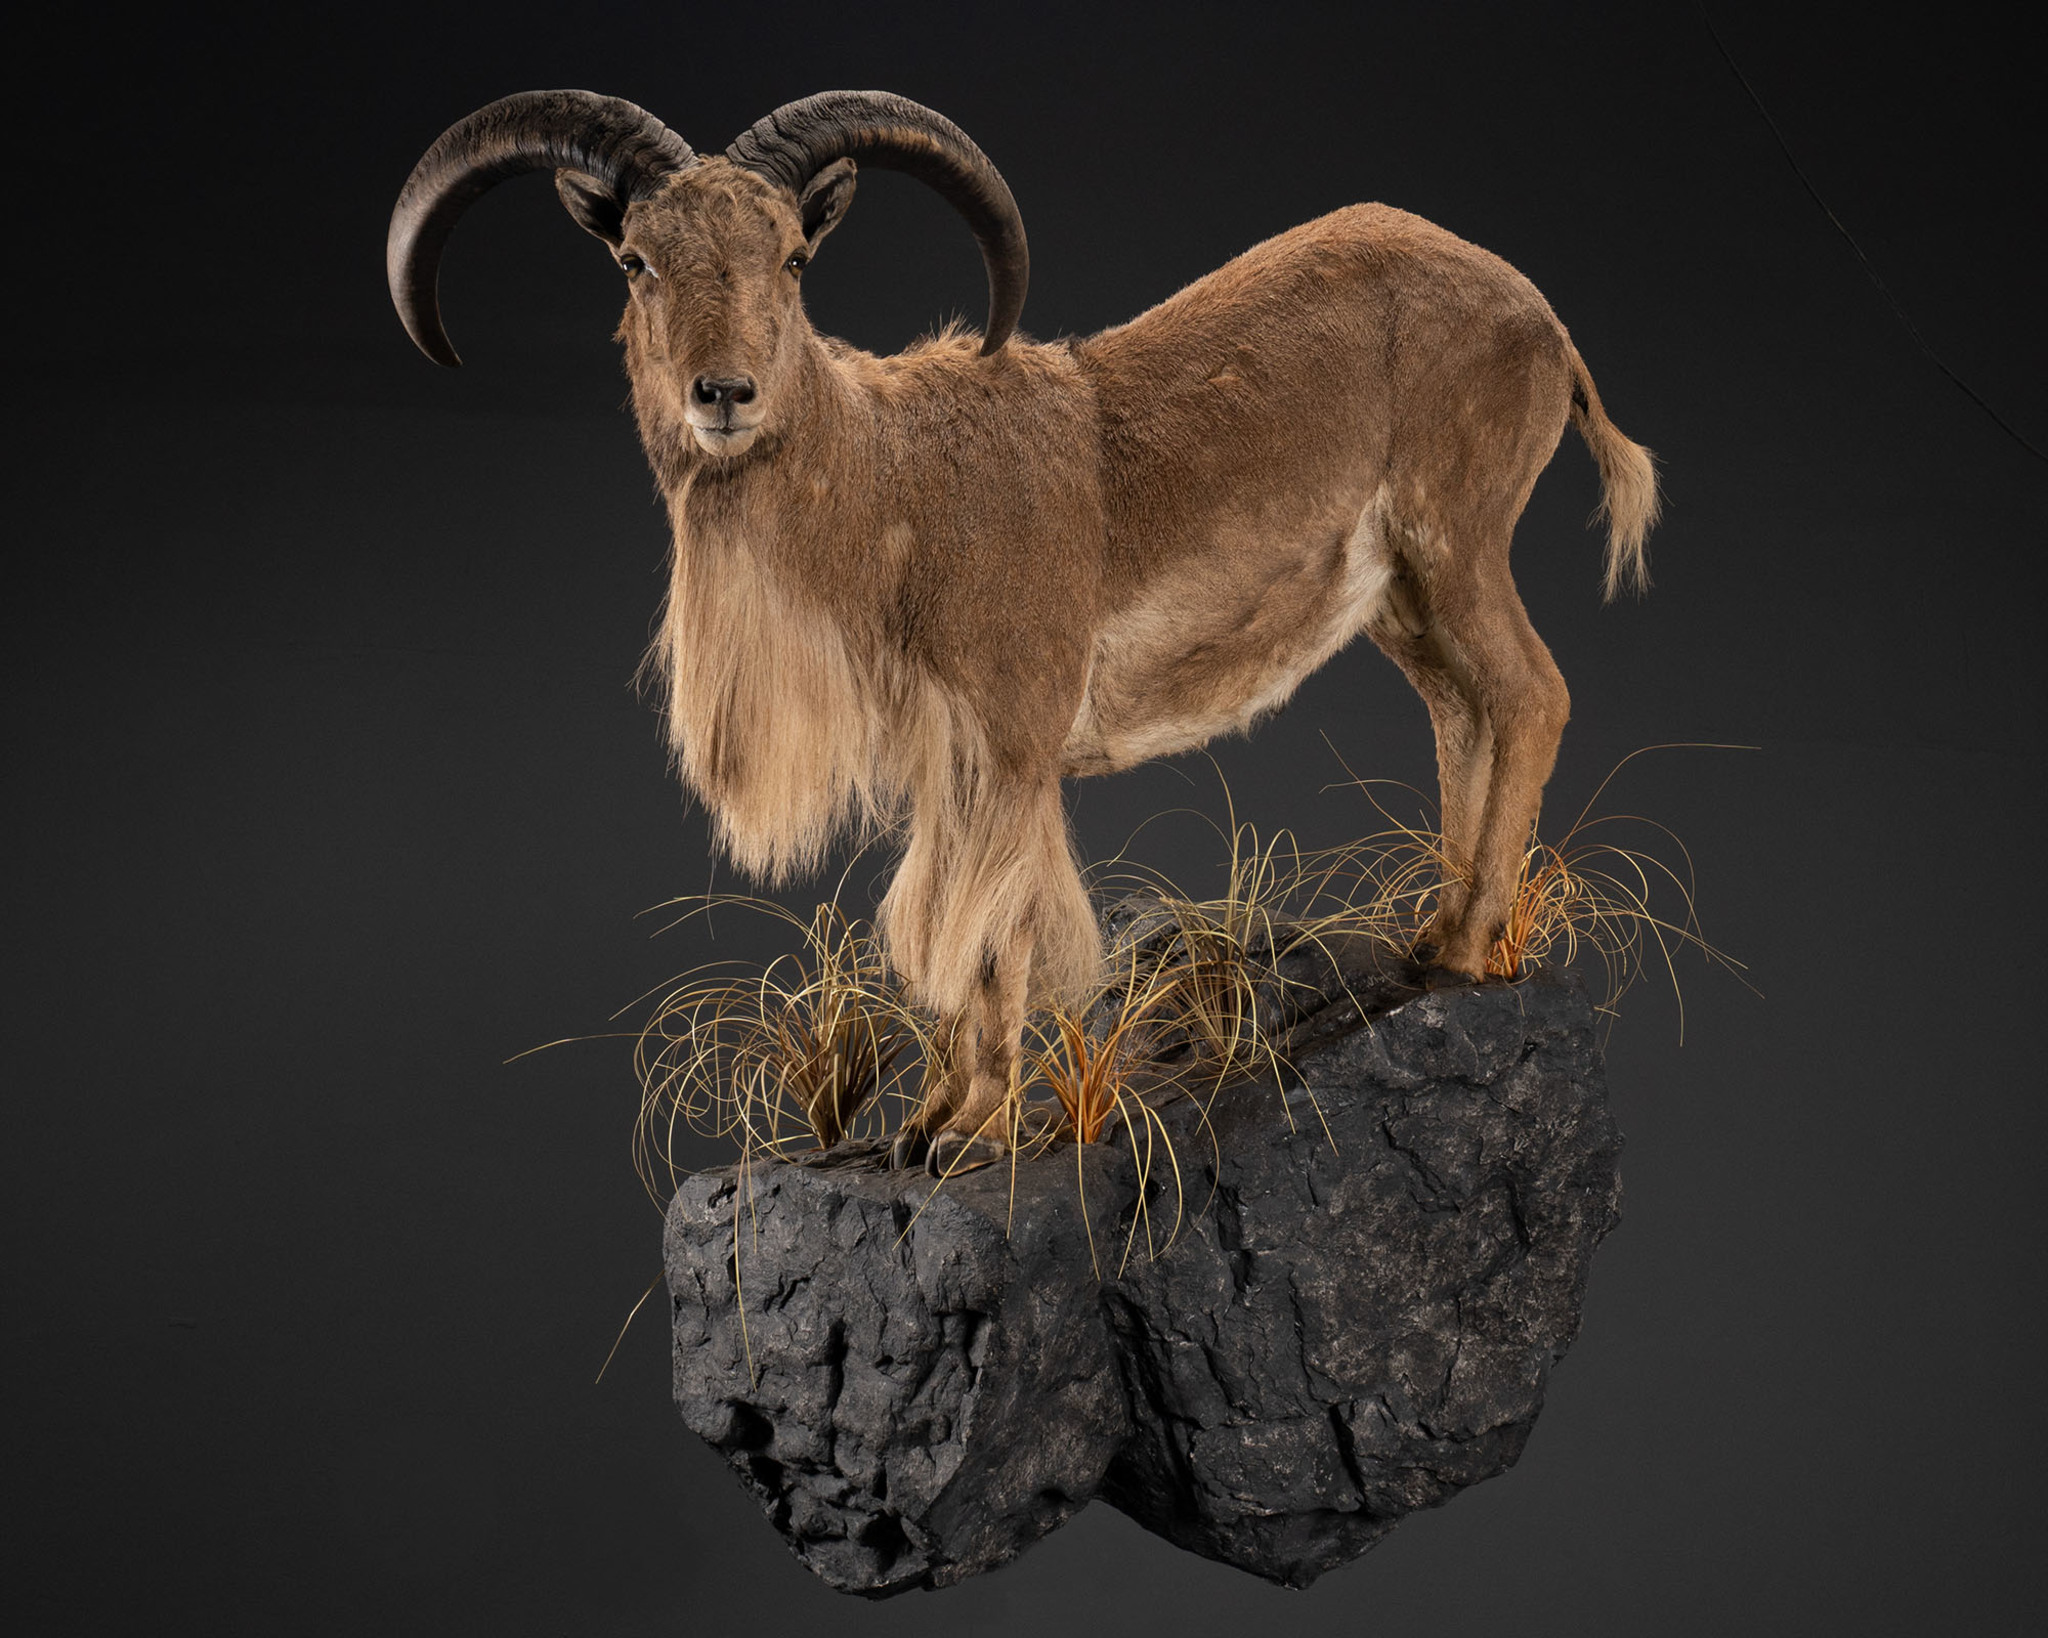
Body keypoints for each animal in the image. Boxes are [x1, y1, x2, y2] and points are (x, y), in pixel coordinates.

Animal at [388, 89, 1659, 1176]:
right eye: (636, 260)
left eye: (789, 258)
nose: (725, 395)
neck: (891, 483)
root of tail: (1541, 320)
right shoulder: (945, 768)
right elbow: (945, 924)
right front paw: (922, 1122)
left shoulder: (1008, 745)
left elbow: (988, 932)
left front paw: (970, 1134)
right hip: (1399, 593)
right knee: (1459, 710)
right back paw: (1431, 933)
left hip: (1457, 539)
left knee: (1527, 695)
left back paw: (1467, 947)